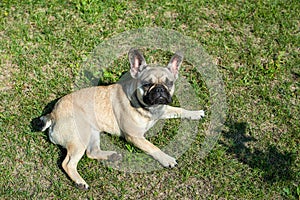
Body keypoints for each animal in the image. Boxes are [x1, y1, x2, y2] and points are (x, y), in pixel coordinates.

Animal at [38, 48, 205, 189]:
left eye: (169, 83)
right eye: (147, 84)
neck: (148, 109)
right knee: (68, 163)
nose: (159, 89)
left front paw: (195, 113)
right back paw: (80, 181)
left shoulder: (163, 109)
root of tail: (53, 114)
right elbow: (152, 147)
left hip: (92, 133)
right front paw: (166, 158)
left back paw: (111, 156)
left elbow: (178, 110)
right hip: (80, 136)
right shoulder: (135, 136)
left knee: (92, 152)